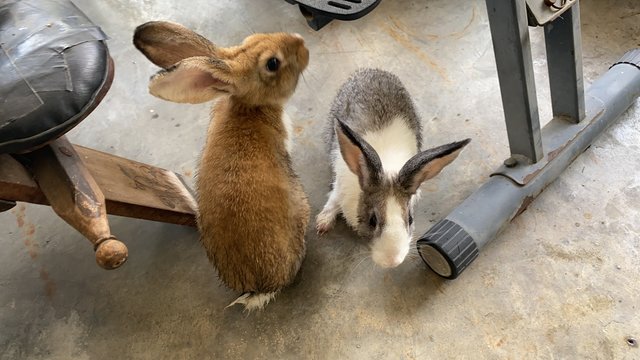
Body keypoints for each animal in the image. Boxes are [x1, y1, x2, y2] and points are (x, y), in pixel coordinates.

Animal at [316, 69, 470, 268]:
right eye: (373, 220)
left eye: (410, 219)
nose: (392, 261)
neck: (386, 168)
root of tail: (373, 70)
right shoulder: (339, 187)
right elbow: (332, 200)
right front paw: (323, 223)